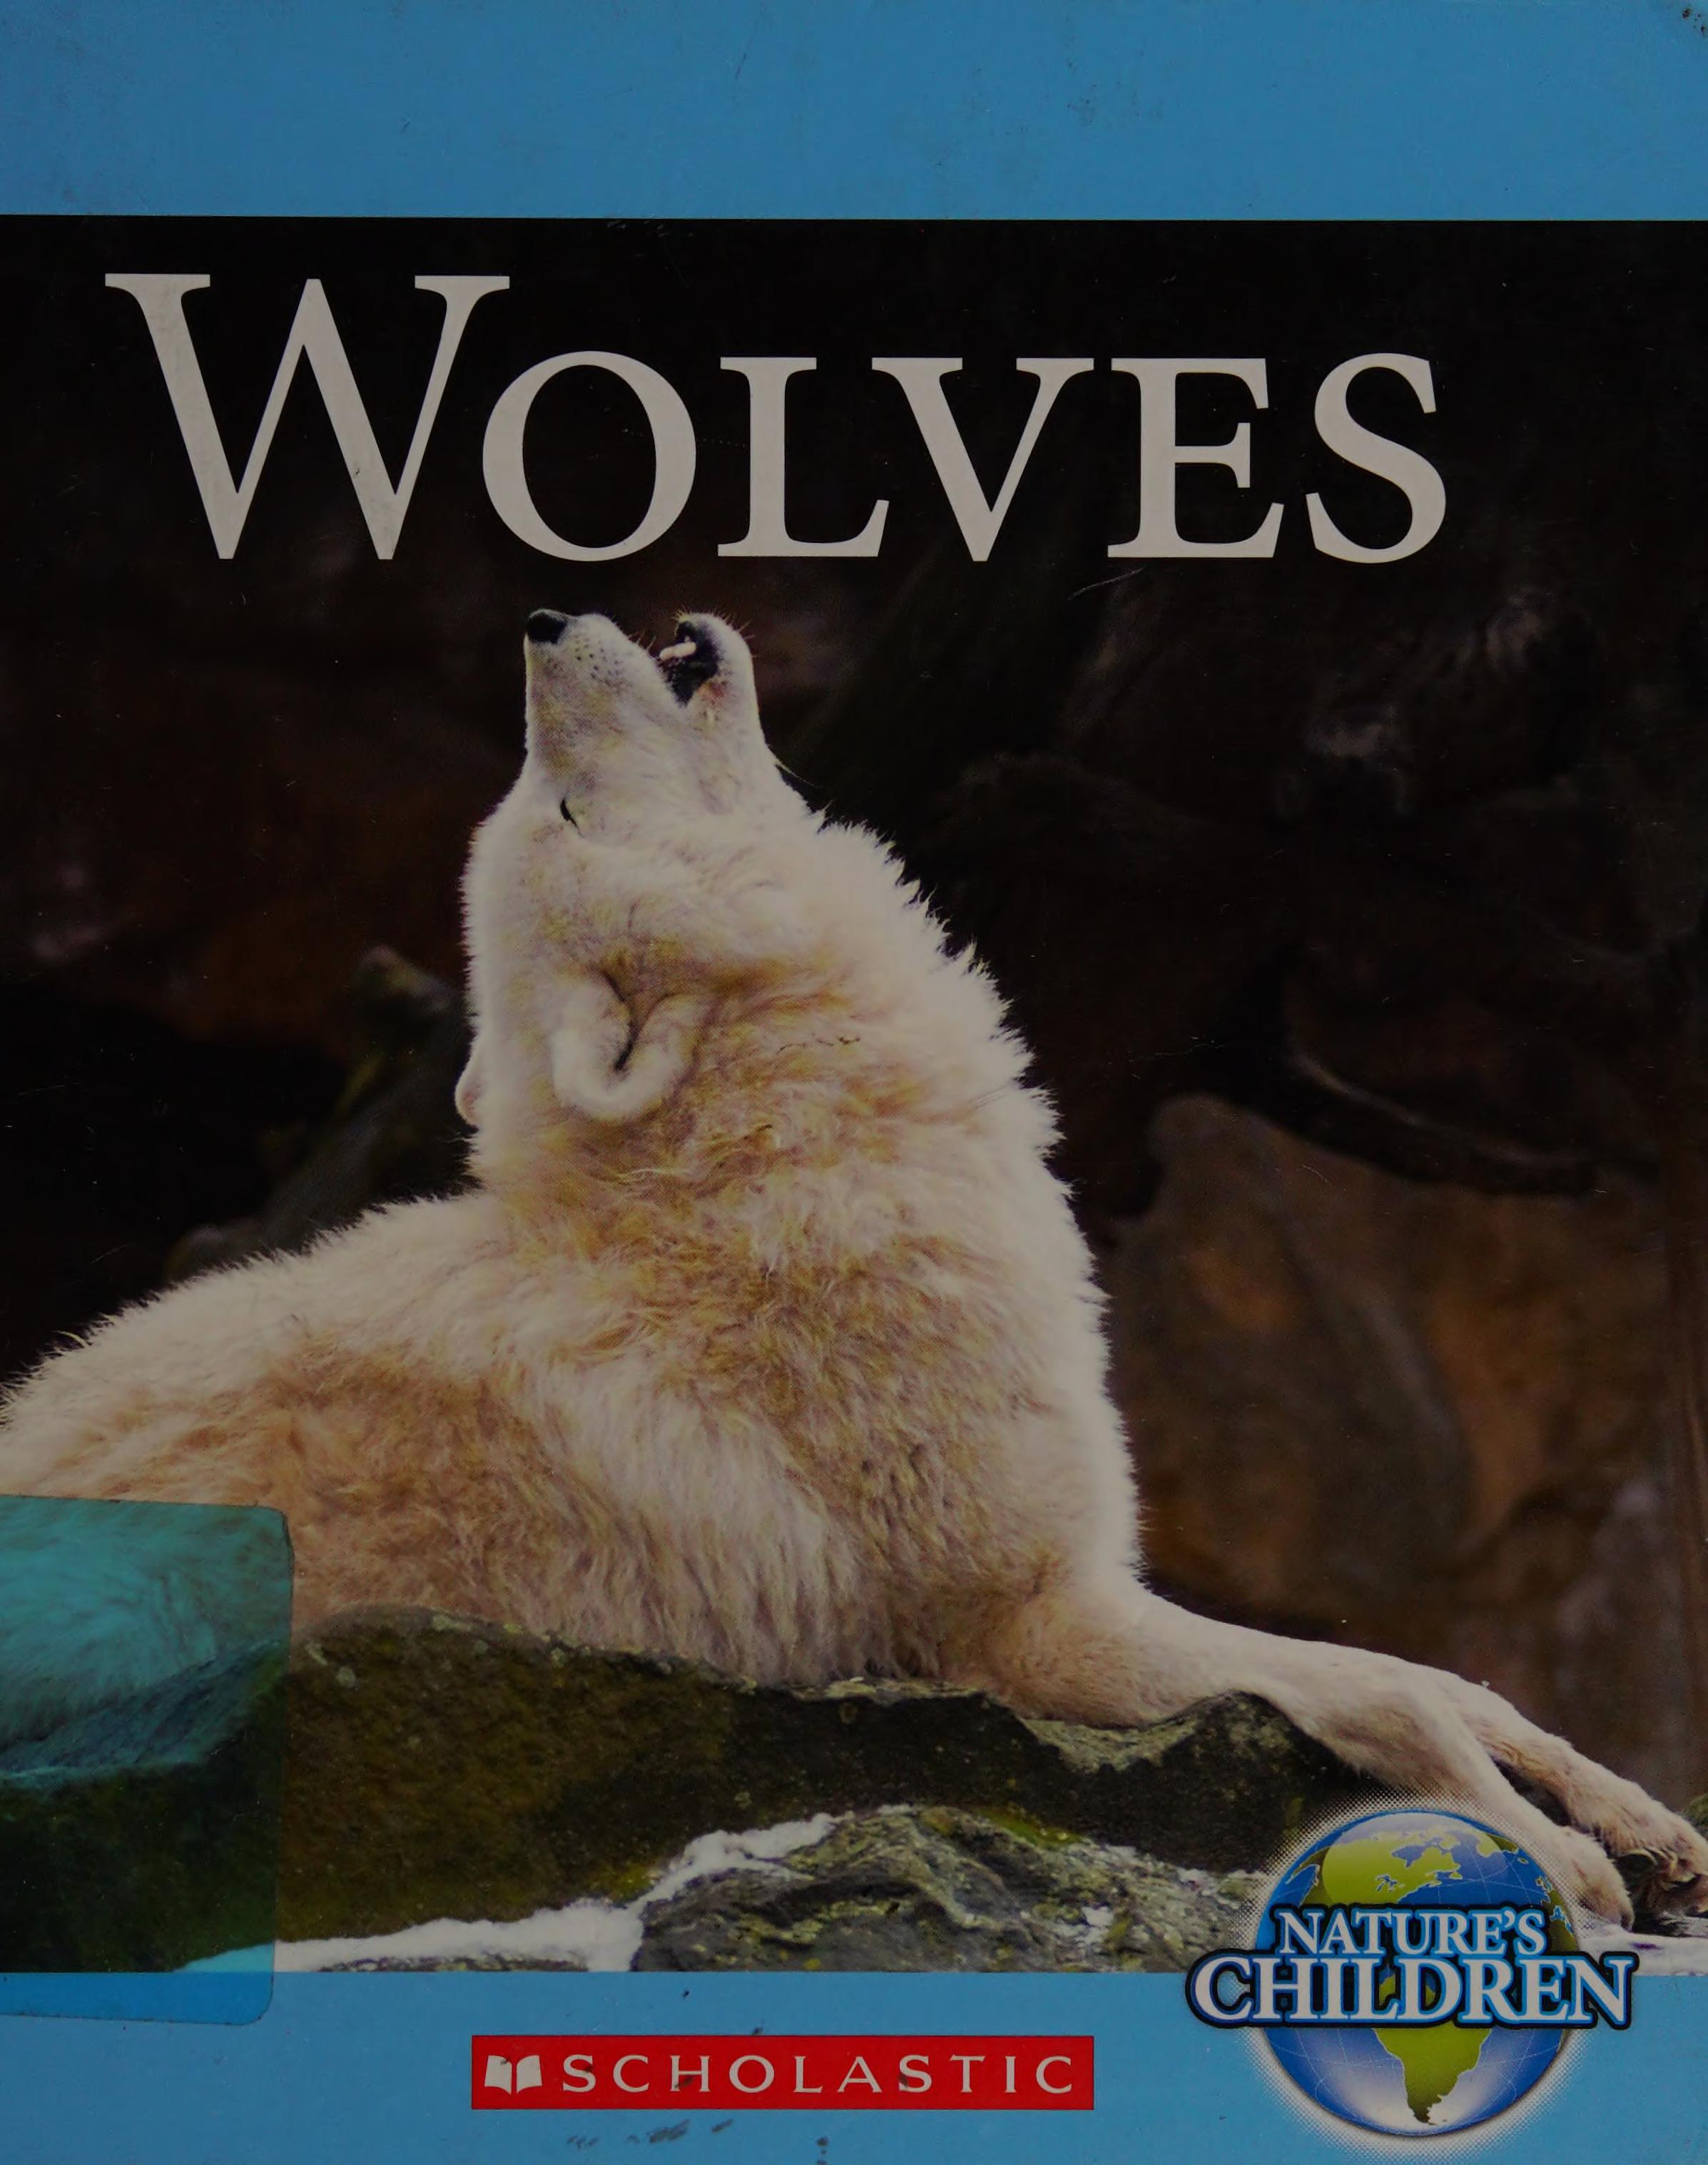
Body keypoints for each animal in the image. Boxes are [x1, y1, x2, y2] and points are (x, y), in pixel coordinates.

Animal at [2, 608, 1703, 1924]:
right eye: (556, 808)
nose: (541, 622)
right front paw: (1560, 1864)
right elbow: (1387, 1688)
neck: (769, 1161)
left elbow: (1452, 1675)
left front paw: (1645, 1822)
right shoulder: (1024, 1621)